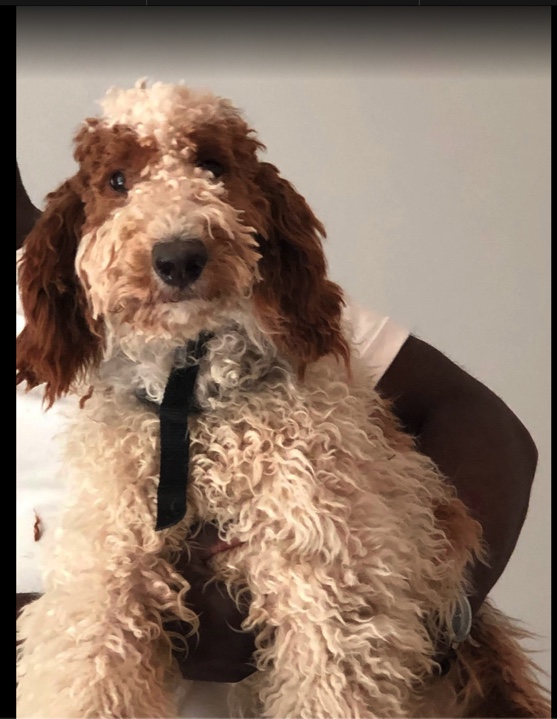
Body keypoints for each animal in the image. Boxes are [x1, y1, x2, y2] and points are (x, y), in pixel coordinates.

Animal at [16, 80, 549, 718]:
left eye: (213, 166)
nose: (179, 257)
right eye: (118, 179)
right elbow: (90, 665)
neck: (191, 400)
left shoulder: (331, 591)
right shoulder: (105, 575)